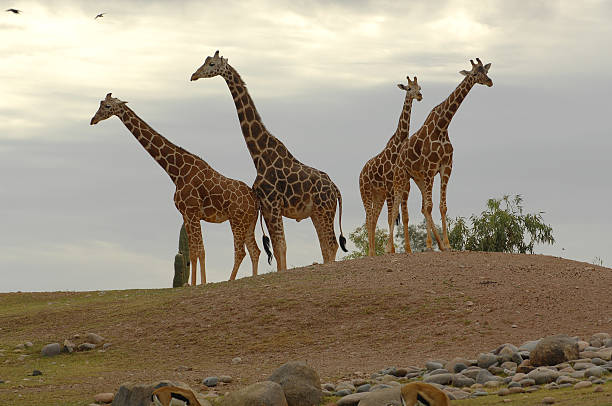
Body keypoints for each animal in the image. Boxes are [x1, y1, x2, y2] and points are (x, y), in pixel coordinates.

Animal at [90, 93, 260, 286]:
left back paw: (230, 280)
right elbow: (193, 252)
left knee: (241, 252)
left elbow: (200, 250)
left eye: (107, 106)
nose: (93, 120)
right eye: (101, 103)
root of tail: (255, 199)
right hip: (249, 222)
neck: (176, 171)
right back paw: (254, 278)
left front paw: (201, 283)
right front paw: (191, 284)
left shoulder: (193, 212)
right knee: (255, 250)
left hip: (237, 220)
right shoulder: (186, 215)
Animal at [189, 51, 346, 272]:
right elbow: (279, 248)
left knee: (331, 244)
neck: (259, 156)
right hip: (317, 212)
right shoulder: (267, 207)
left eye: (211, 64)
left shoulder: (272, 205)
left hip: (325, 210)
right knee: (326, 245)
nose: (193, 75)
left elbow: (281, 246)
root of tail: (336, 190)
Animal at [358, 74, 420, 255]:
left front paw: (406, 249)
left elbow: (402, 217)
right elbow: (390, 216)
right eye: (409, 88)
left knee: (373, 218)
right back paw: (371, 252)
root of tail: (360, 173)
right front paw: (390, 249)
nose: (419, 96)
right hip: (366, 192)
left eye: (419, 87)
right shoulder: (389, 185)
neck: (398, 146)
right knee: (369, 218)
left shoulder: (404, 186)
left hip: (378, 195)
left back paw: (372, 252)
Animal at [390, 58, 494, 252]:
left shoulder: (446, 167)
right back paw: (391, 248)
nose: (490, 81)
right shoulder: (431, 168)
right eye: (475, 73)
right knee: (395, 208)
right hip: (402, 177)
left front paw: (446, 244)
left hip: (418, 178)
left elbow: (441, 207)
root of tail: (399, 153)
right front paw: (432, 246)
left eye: (485, 70)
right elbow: (430, 206)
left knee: (421, 207)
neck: (442, 126)